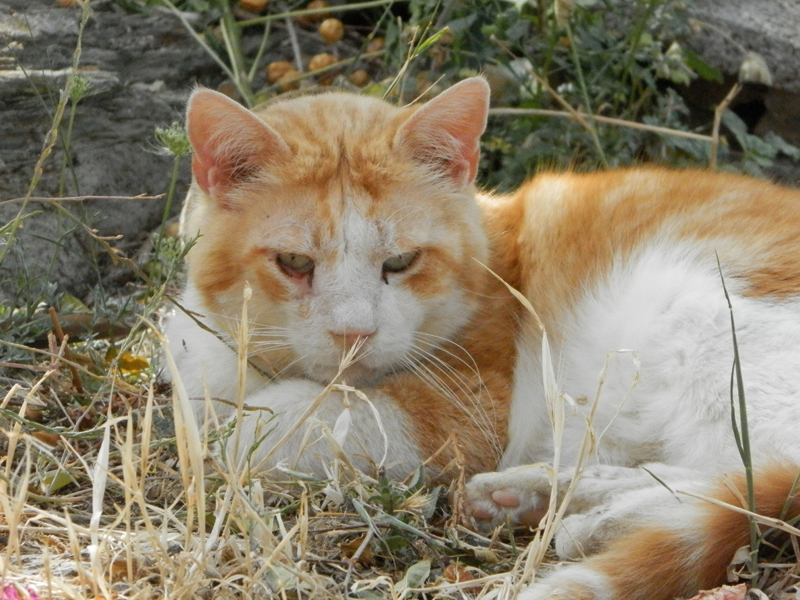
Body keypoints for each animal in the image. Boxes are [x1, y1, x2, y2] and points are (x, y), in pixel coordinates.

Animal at [166, 76, 800, 600]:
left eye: (401, 261)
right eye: (295, 263)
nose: (354, 332)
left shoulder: (466, 407)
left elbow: (267, 429)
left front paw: (233, 432)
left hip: (705, 322)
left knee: (753, 477)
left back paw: (604, 521)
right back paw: (540, 495)